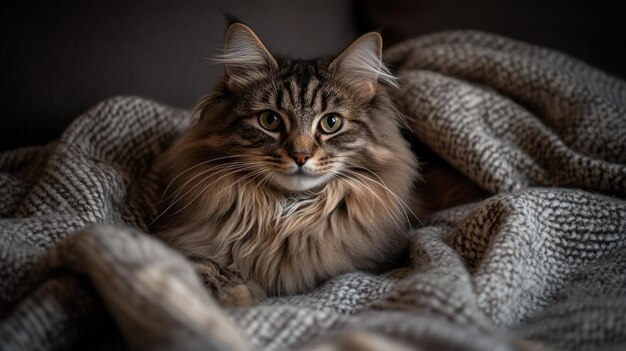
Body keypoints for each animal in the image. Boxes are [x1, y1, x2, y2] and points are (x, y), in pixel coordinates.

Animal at [154, 22, 420, 308]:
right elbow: (199, 265)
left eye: (331, 123)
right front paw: (229, 295)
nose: (300, 156)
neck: (287, 214)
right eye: (270, 120)